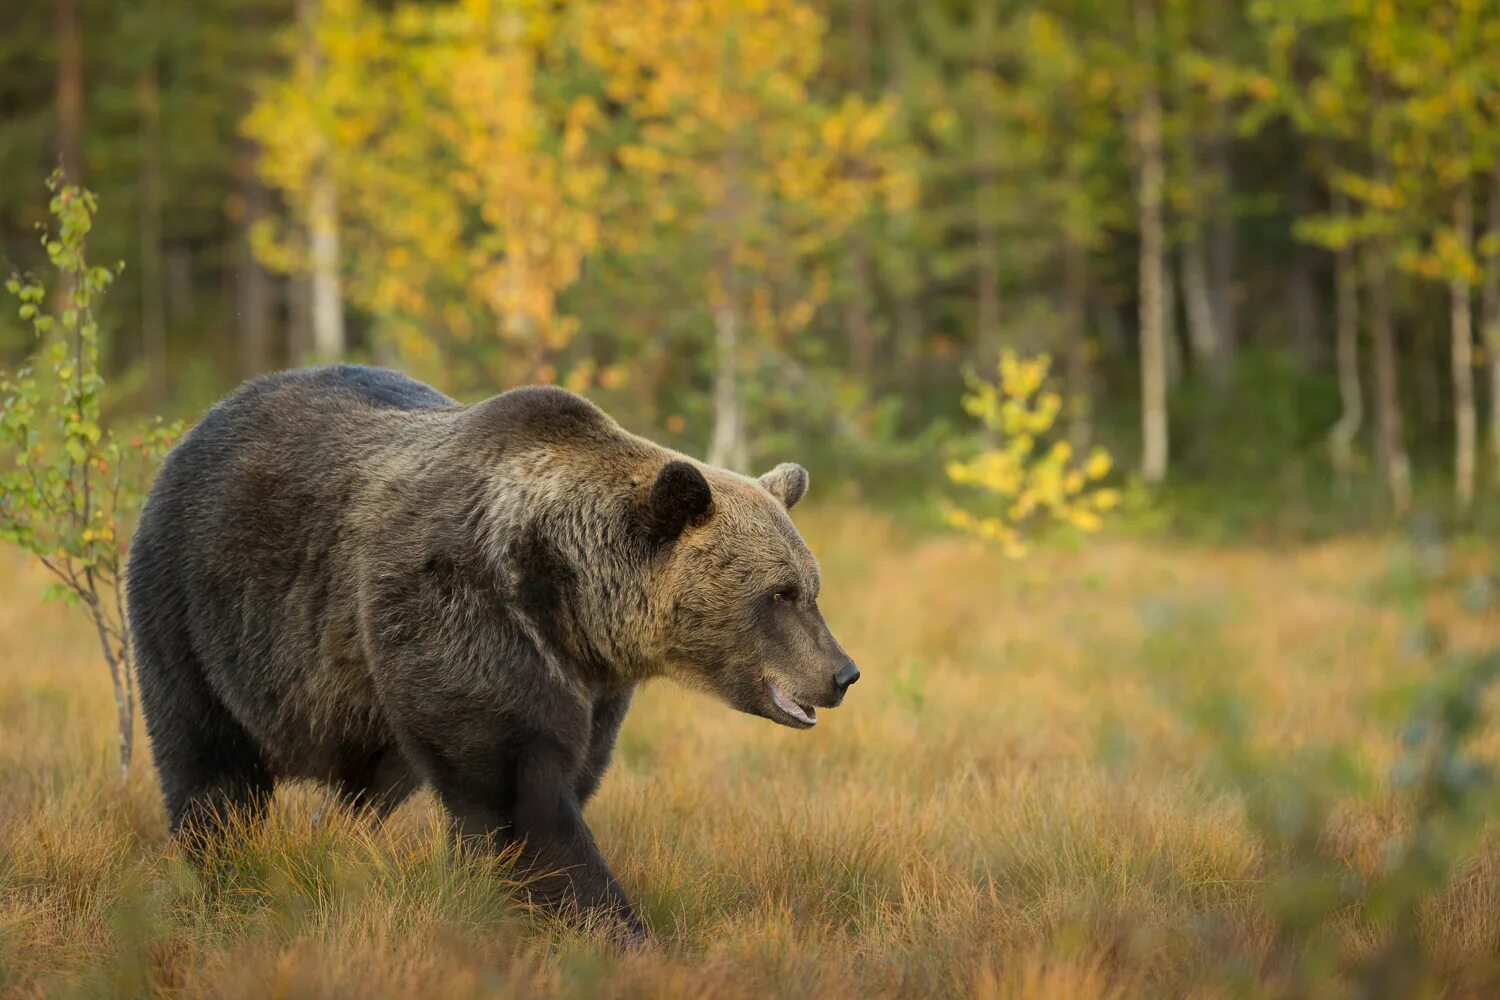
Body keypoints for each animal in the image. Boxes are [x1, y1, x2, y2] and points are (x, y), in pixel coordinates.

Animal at [127, 365, 858, 941]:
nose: (842, 673)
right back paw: (227, 873)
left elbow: (553, 783)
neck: (566, 595)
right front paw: (622, 933)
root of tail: (208, 417)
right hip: (197, 603)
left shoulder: (588, 682)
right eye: (780, 592)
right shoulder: (462, 612)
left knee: (367, 788)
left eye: (811, 586)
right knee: (209, 769)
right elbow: (521, 791)